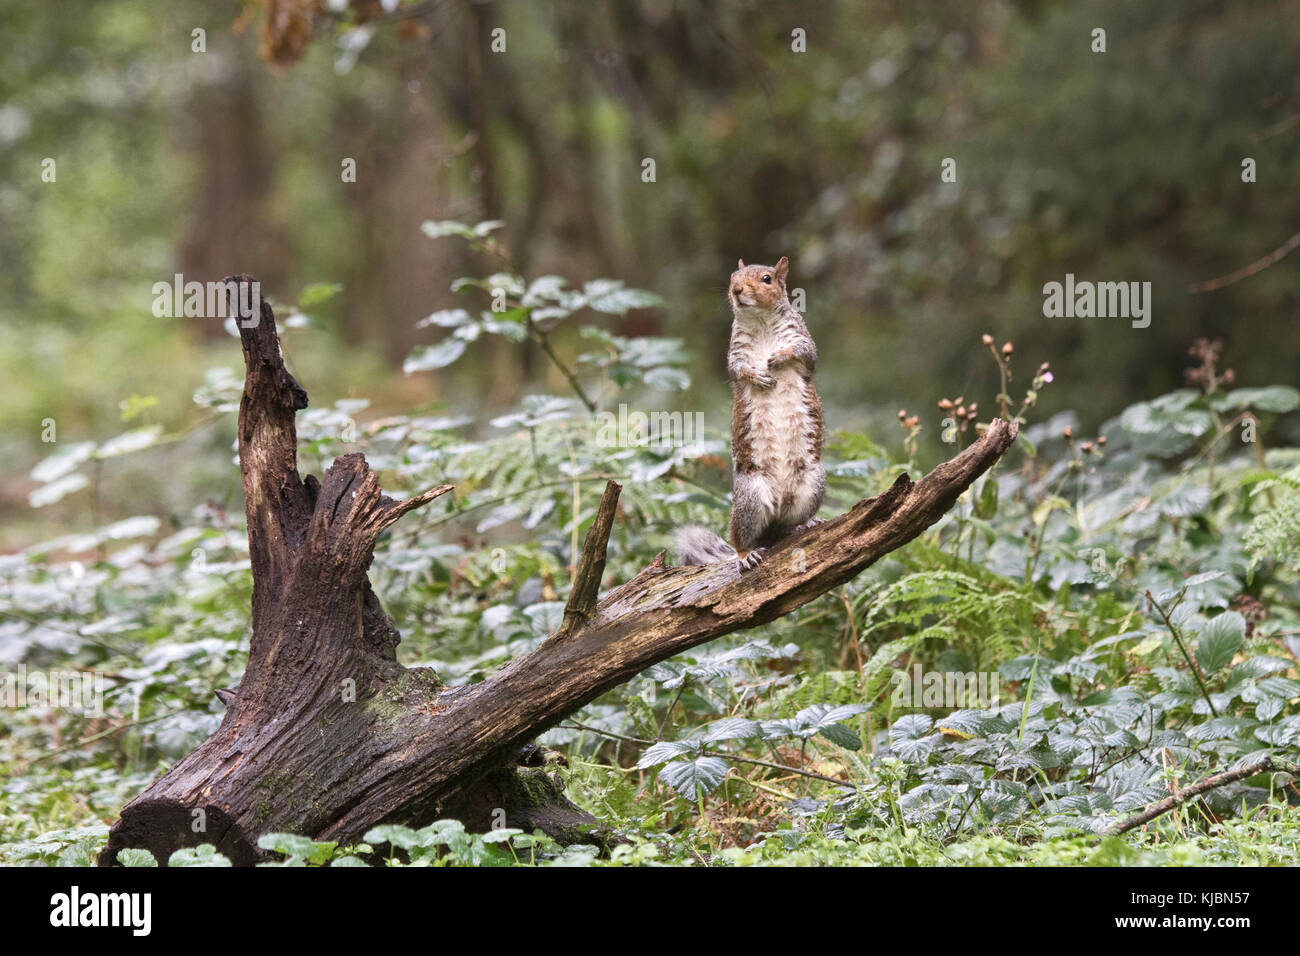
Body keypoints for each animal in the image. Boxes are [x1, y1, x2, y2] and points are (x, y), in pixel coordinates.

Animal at [676, 256, 826, 567]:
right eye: (733, 277)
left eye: (767, 279)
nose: (736, 290)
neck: (761, 320)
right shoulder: (735, 353)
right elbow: (738, 369)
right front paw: (757, 376)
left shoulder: (803, 340)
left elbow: (805, 352)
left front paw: (779, 357)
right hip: (751, 499)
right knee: (741, 538)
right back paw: (745, 555)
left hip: (812, 484)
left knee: (789, 524)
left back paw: (805, 523)